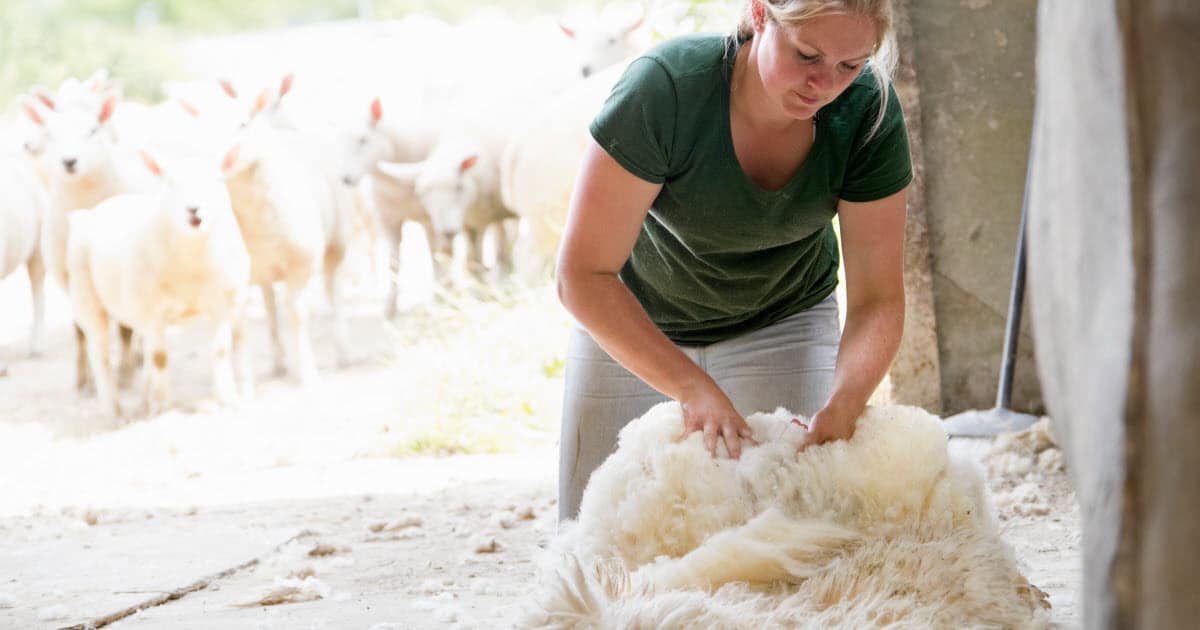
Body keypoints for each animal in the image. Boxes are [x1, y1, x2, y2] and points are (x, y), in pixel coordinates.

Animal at [66, 151, 250, 417]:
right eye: (169, 183)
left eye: (218, 179)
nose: (193, 209)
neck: (192, 266)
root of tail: (91, 212)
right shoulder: (152, 313)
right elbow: (160, 358)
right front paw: (163, 407)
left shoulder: (223, 304)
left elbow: (220, 351)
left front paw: (228, 399)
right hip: (87, 299)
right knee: (100, 354)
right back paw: (114, 411)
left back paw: (144, 400)